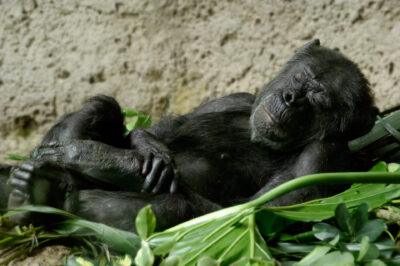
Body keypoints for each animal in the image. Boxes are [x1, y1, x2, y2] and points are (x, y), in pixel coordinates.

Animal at [2, 39, 378, 231]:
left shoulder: (323, 157)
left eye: (318, 100)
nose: (291, 98)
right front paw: (144, 150)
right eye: (300, 78)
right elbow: (161, 129)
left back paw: (41, 192)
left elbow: (249, 212)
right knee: (104, 104)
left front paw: (98, 158)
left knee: (178, 207)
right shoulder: (234, 98)